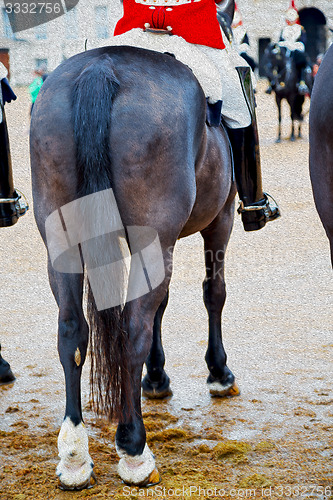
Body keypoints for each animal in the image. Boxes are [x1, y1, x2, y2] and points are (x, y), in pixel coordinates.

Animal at [29, 26, 239, 492]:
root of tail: (101, 67)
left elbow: (163, 305)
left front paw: (156, 377)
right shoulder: (221, 219)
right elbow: (213, 293)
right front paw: (217, 372)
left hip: (62, 243)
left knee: (72, 330)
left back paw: (74, 454)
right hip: (156, 239)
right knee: (132, 327)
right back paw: (134, 448)